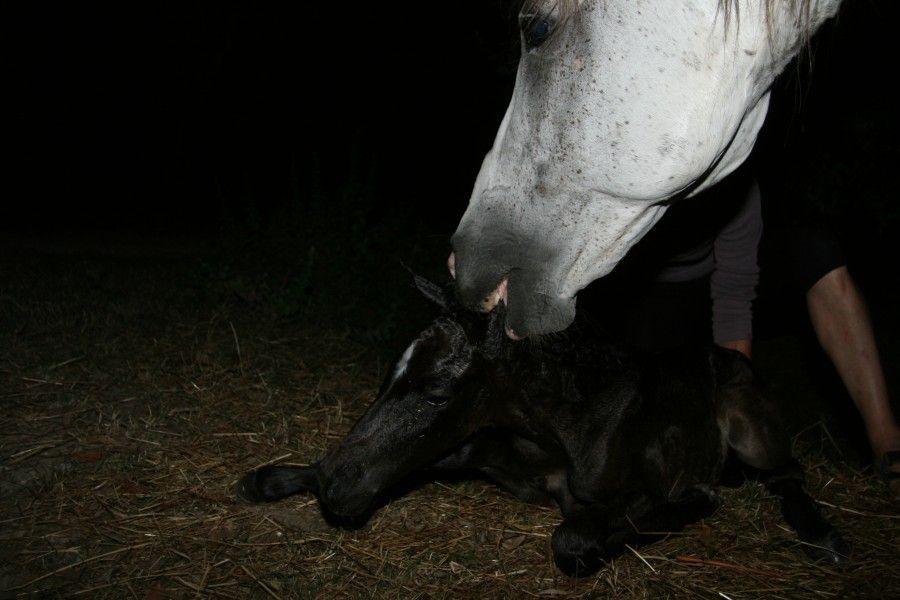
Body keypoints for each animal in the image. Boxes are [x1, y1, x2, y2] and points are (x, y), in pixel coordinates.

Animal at [236, 276, 848, 576]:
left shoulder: (631, 494)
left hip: (749, 421)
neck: (547, 434)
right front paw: (273, 479)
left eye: (436, 394)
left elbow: (574, 538)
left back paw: (821, 535)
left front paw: (676, 510)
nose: (339, 492)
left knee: (788, 475)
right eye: (389, 376)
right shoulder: (468, 448)